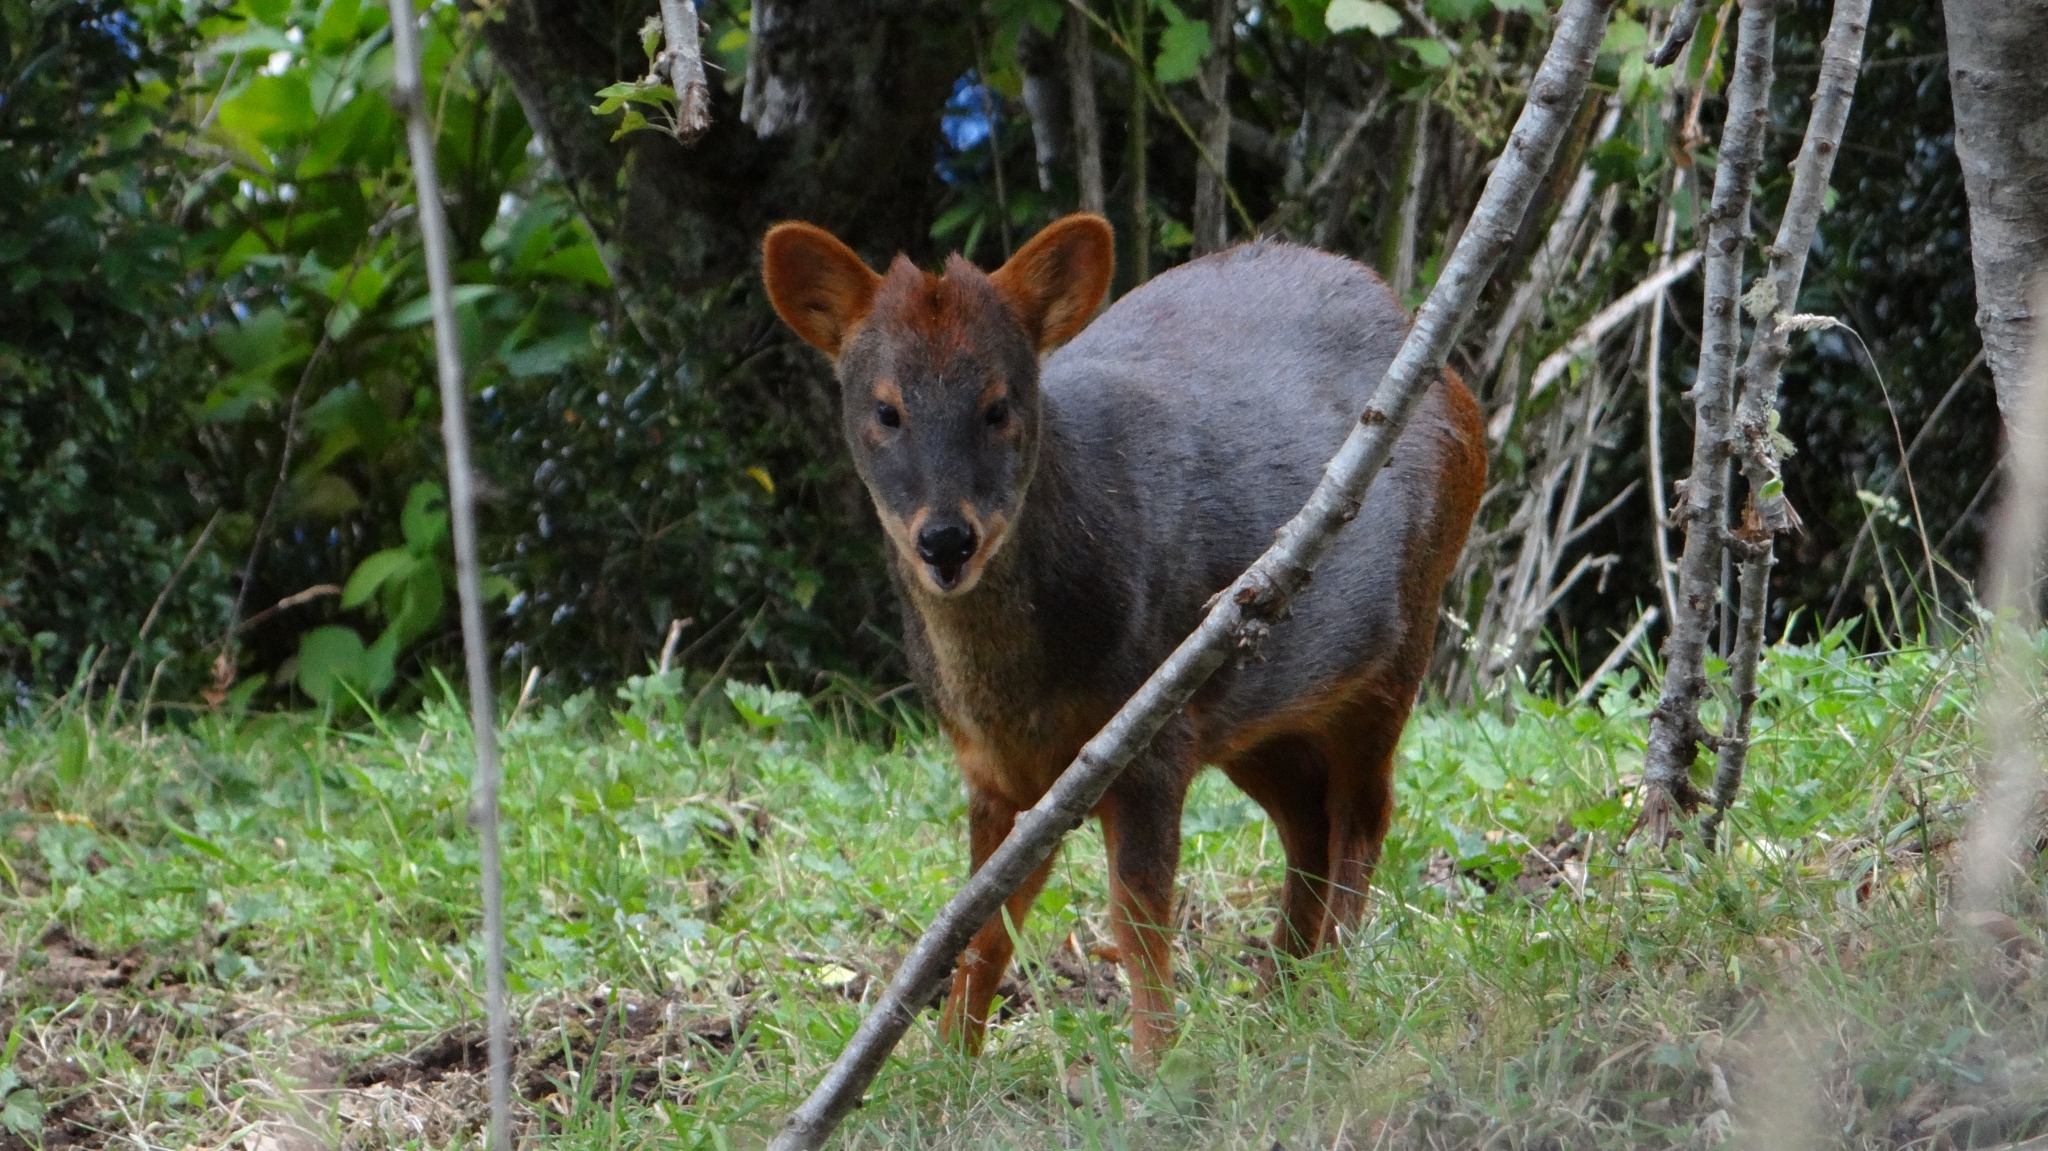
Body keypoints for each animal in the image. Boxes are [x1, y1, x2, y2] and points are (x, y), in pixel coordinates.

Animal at [761, 212, 1482, 1056]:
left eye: (999, 404)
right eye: (886, 409)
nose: (945, 540)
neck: (1016, 696)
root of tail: (1449, 374)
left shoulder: (1149, 737)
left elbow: (1137, 914)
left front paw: (1155, 1061)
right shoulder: (996, 771)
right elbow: (980, 924)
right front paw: (950, 1061)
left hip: (1395, 647)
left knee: (1363, 816)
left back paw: (1327, 988)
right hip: (1253, 708)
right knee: (1309, 821)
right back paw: (1279, 998)